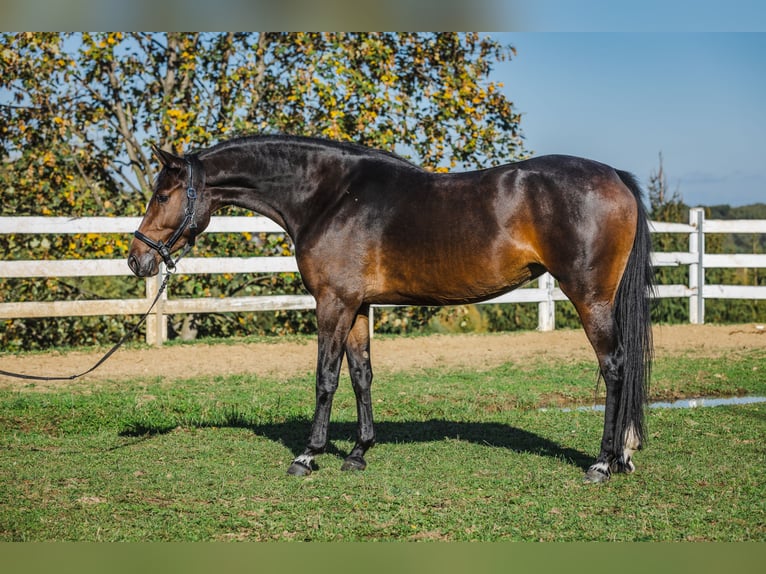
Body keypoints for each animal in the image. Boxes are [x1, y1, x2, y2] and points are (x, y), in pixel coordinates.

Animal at [127, 136, 656, 486]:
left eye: (162, 195)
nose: (137, 259)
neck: (328, 196)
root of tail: (616, 176)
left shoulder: (332, 303)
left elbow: (325, 378)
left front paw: (308, 455)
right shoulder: (358, 305)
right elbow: (361, 374)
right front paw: (359, 452)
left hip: (590, 297)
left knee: (615, 367)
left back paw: (604, 462)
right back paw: (624, 455)